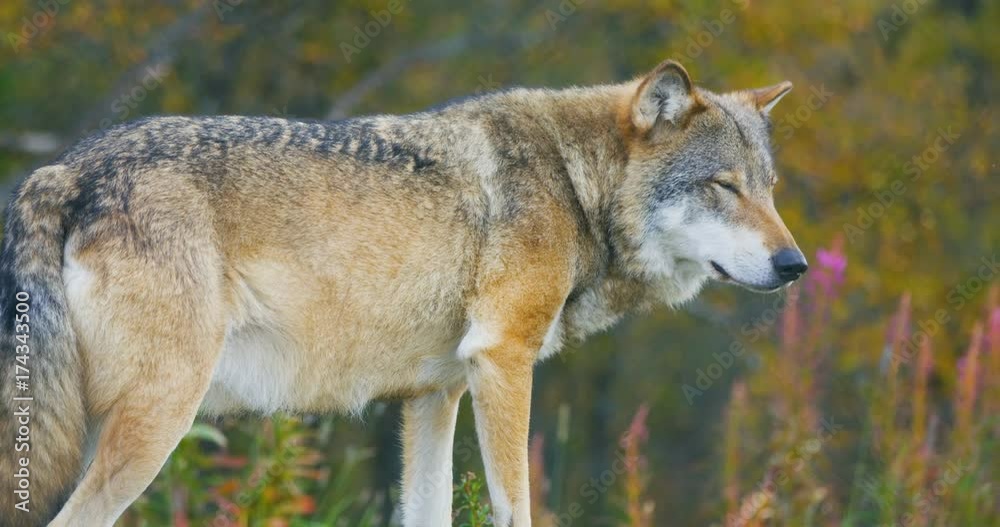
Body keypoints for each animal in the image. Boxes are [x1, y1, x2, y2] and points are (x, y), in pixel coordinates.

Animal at [0, 59, 804, 524]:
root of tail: (61, 170)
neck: (575, 185)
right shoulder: (501, 360)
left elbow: (431, 510)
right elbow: (516, 507)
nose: (794, 264)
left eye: (768, 188)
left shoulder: (433, 395)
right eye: (722, 186)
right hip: (155, 422)